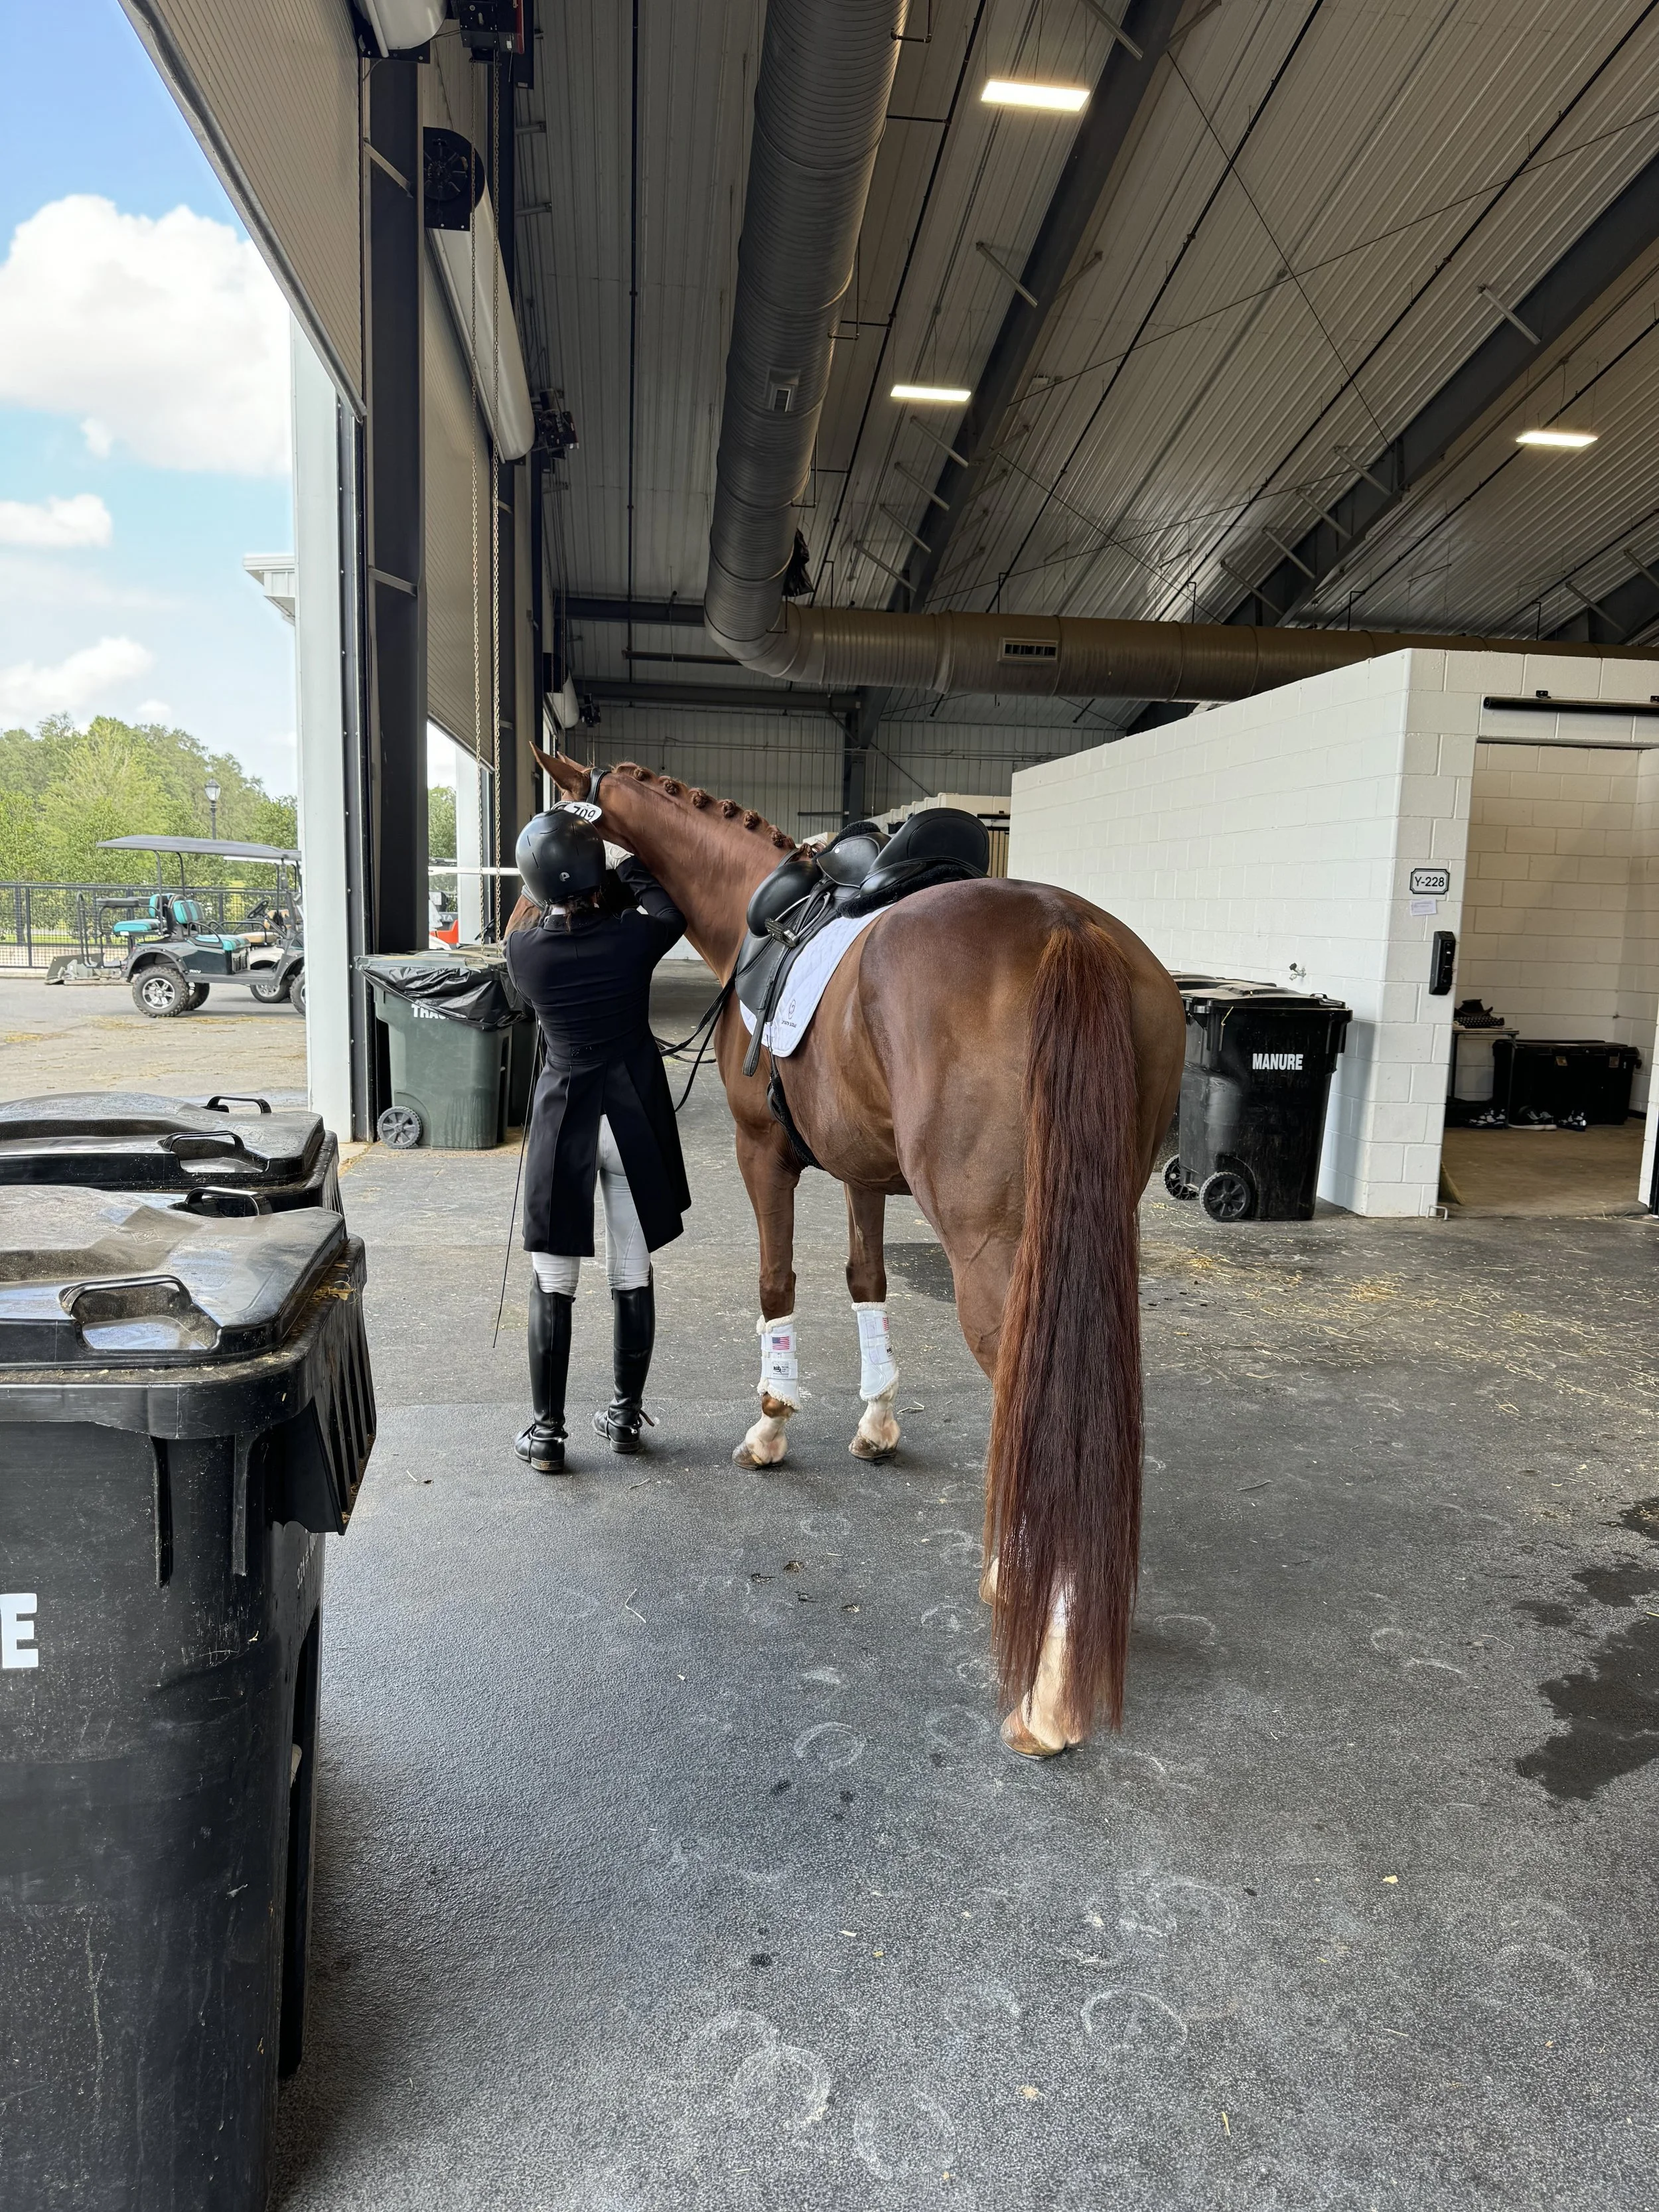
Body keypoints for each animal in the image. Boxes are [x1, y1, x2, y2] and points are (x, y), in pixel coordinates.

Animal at [511, 748, 1186, 1755]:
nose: (520, 947)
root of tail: (1070, 931)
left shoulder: (764, 1154)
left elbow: (775, 1283)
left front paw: (771, 1424)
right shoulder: (864, 1169)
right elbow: (867, 1280)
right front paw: (875, 1421)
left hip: (994, 1251)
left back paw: (1048, 1684)